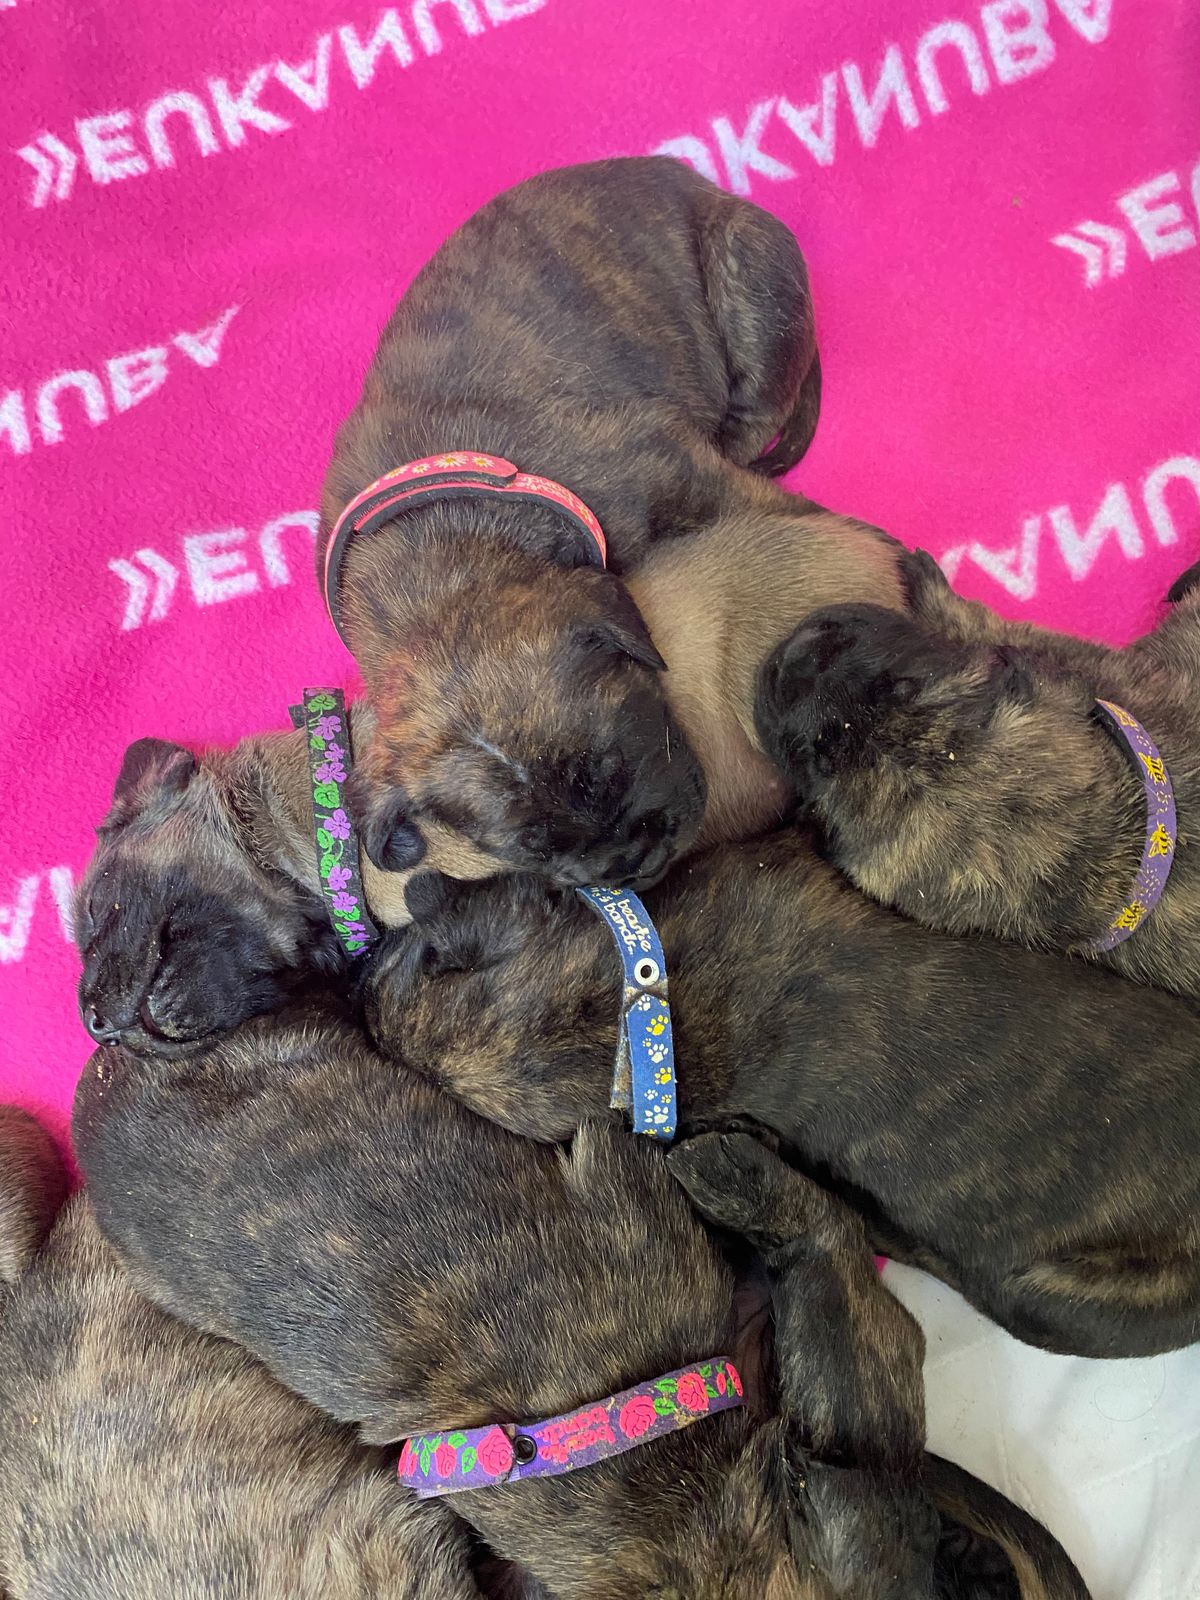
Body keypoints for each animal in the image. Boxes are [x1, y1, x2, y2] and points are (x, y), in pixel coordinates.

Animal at [320, 155, 907, 891]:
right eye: (534, 850)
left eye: (613, 767)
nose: (629, 863)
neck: (442, 561)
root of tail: (697, 180)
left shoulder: (692, 478)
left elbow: (795, 519)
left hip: (750, 273)